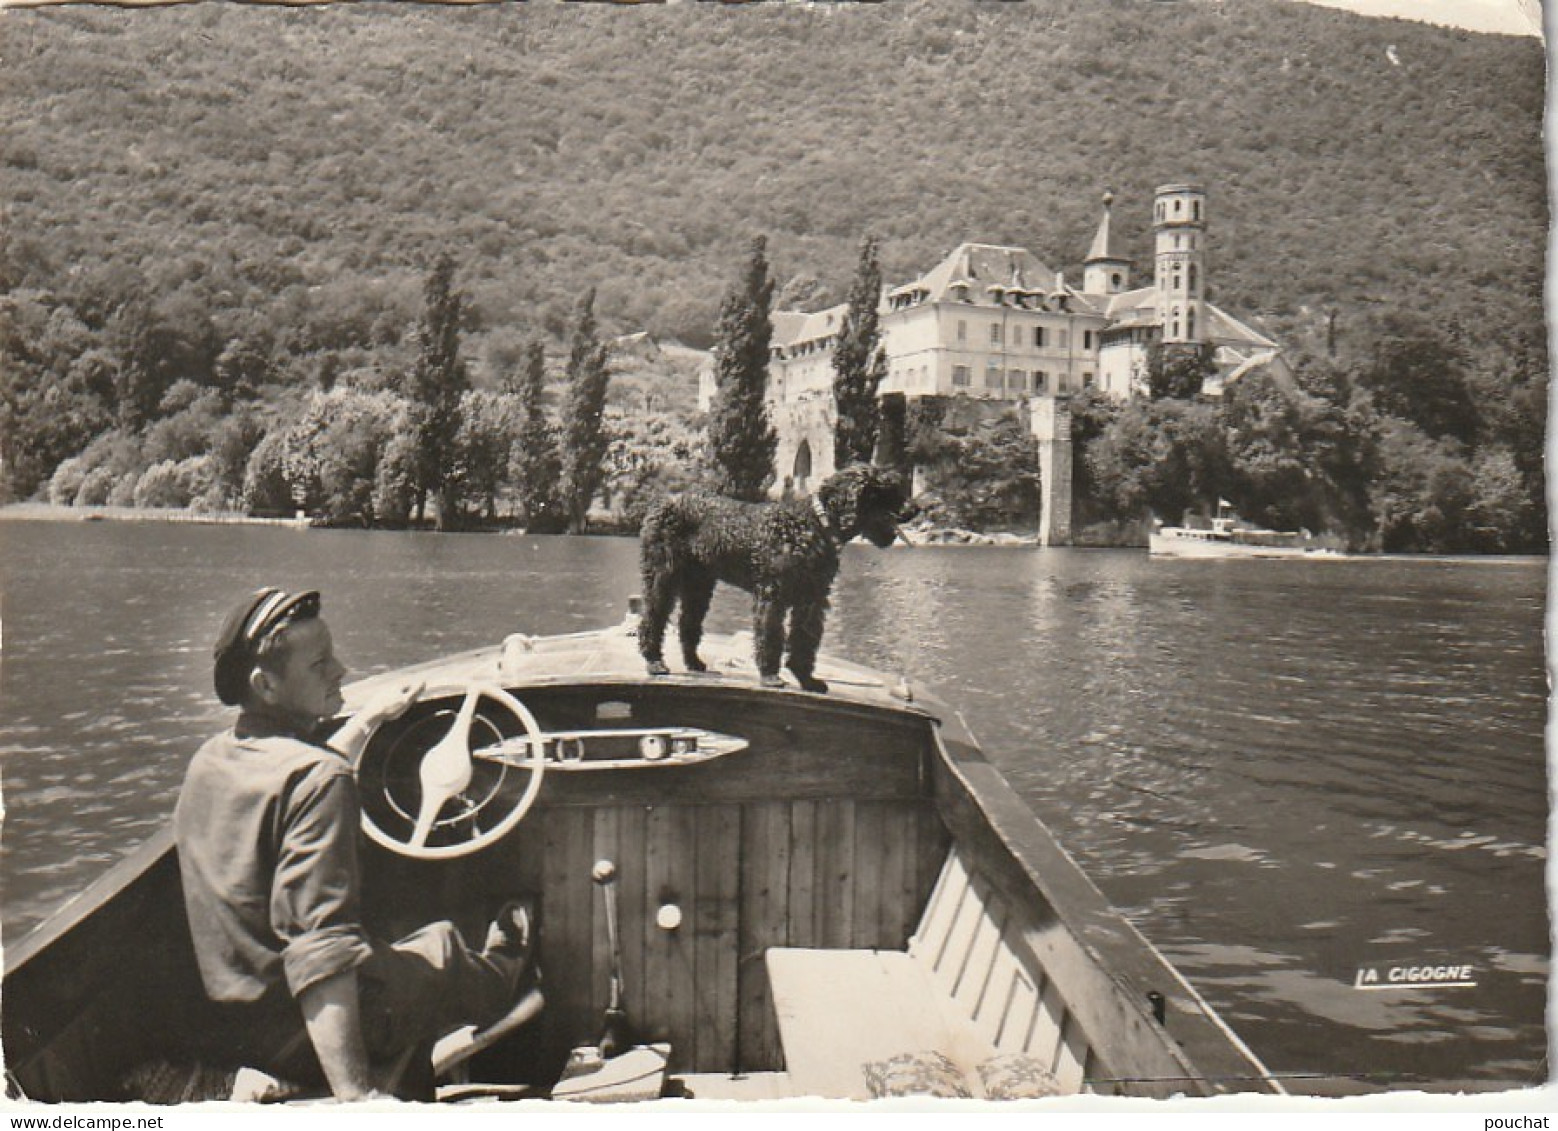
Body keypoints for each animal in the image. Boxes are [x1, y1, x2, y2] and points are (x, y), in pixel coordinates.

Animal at [638, 464, 909, 694]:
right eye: (884, 490)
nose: (912, 509)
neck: (813, 525)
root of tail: (660, 502)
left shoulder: (812, 599)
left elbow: (805, 640)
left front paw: (806, 679)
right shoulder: (772, 594)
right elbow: (771, 635)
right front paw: (770, 676)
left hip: (699, 585)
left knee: (688, 624)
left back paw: (694, 662)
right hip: (662, 576)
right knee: (653, 618)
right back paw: (654, 661)